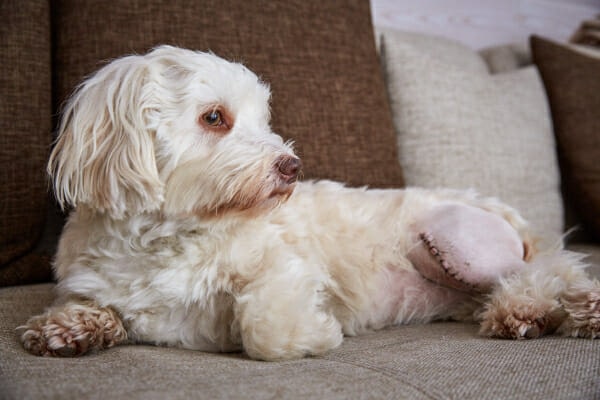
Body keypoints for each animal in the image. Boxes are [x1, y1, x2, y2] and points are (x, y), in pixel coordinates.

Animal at [18, 45, 600, 360]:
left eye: (263, 118)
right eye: (214, 118)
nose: (291, 166)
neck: (167, 236)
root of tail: (506, 211)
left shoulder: (286, 267)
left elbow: (265, 329)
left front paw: (315, 332)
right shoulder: (102, 287)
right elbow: (96, 308)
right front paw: (68, 330)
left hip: (460, 239)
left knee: (548, 269)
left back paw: (548, 309)